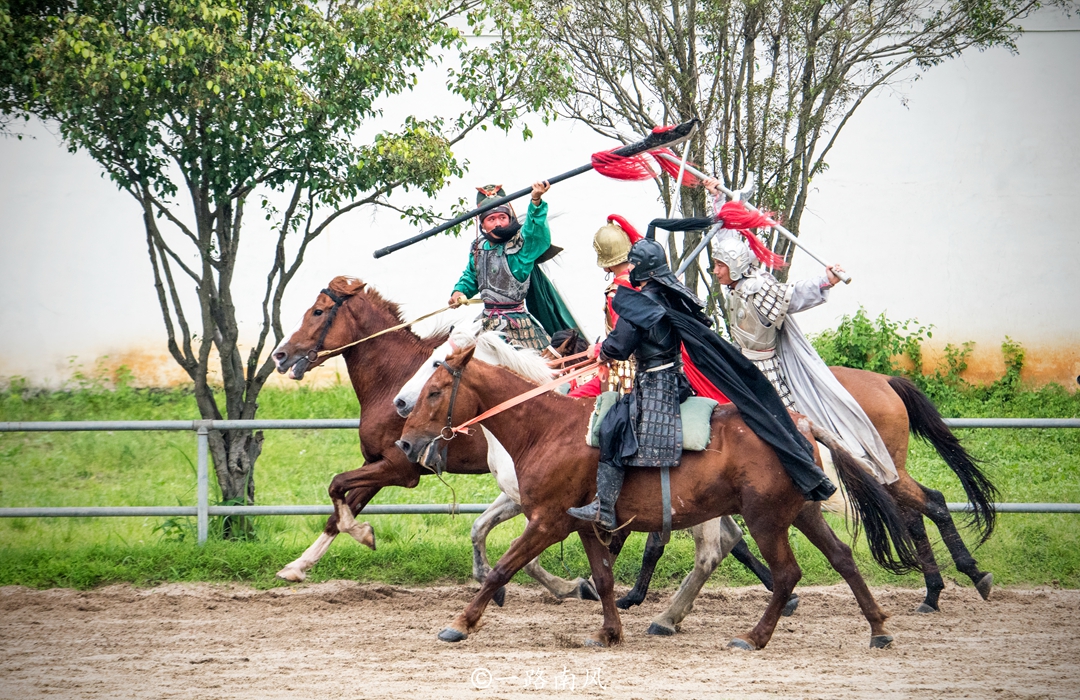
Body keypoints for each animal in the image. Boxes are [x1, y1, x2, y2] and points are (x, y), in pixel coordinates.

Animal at [267, 274, 591, 600]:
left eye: (318, 312)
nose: (279, 355)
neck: (391, 379)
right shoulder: (376, 462)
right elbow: (341, 507)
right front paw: (298, 565)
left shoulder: (398, 468)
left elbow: (338, 485)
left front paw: (361, 535)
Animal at [397, 347, 920, 648]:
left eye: (436, 391)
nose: (404, 440)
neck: (547, 428)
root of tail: (802, 424)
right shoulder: (585, 524)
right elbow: (604, 578)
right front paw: (608, 631)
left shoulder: (547, 520)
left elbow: (504, 568)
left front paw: (461, 623)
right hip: (803, 512)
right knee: (842, 557)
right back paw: (878, 628)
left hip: (767, 518)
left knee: (784, 572)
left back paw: (751, 636)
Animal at [622, 367, 997, 630]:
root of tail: (886, 381)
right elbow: (726, 544)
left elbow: (664, 544)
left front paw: (632, 596)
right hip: (883, 474)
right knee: (916, 514)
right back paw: (935, 591)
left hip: (880, 471)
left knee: (932, 503)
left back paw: (968, 576)